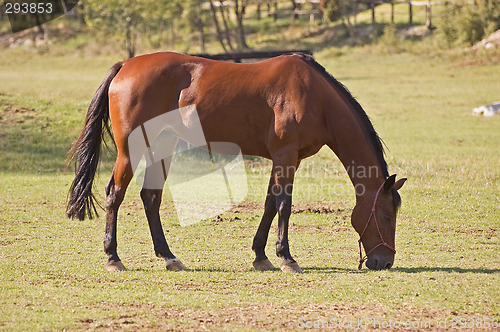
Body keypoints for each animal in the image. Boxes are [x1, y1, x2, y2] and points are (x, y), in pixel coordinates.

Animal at [66, 51, 404, 270]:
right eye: (387, 216)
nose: (384, 262)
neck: (315, 97)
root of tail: (126, 65)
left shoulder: (282, 159)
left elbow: (270, 203)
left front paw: (261, 256)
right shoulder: (286, 156)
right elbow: (284, 205)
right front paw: (287, 258)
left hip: (162, 145)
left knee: (150, 198)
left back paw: (169, 257)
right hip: (131, 151)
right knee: (114, 194)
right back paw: (113, 258)